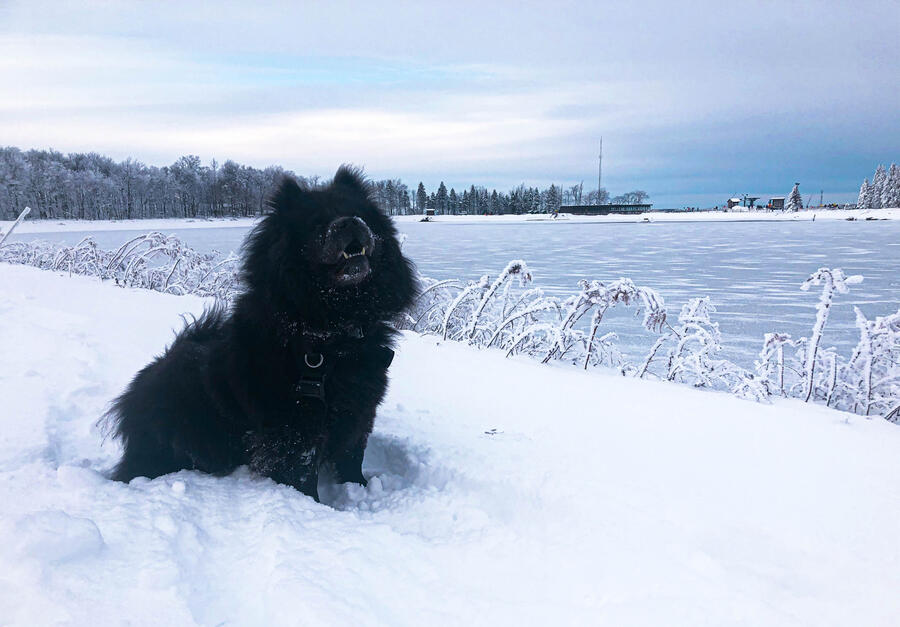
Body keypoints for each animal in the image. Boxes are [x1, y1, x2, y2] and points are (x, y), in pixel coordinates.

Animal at [106, 167, 418, 500]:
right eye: (317, 224)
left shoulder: (359, 410)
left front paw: (360, 490)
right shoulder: (294, 426)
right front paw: (310, 505)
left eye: (359, 214)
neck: (332, 333)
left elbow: (352, 458)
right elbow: (301, 473)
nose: (349, 222)